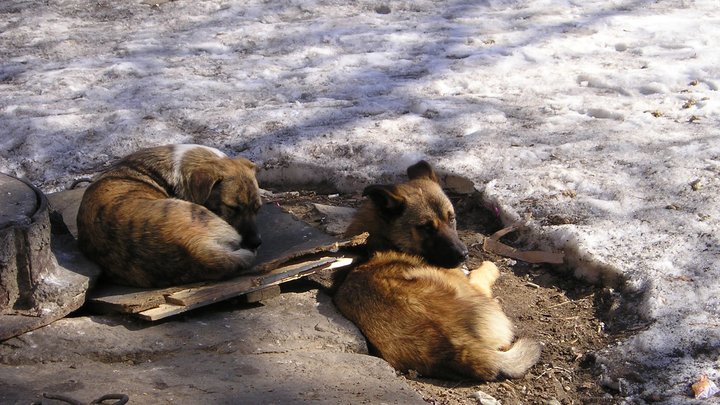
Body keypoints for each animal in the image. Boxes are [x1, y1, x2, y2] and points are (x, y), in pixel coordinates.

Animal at [334, 160, 540, 378]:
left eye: (452, 218)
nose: (463, 254)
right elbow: (482, 271)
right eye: (426, 227)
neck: (381, 241)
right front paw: (487, 266)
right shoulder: (473, 283)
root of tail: (457, 347)